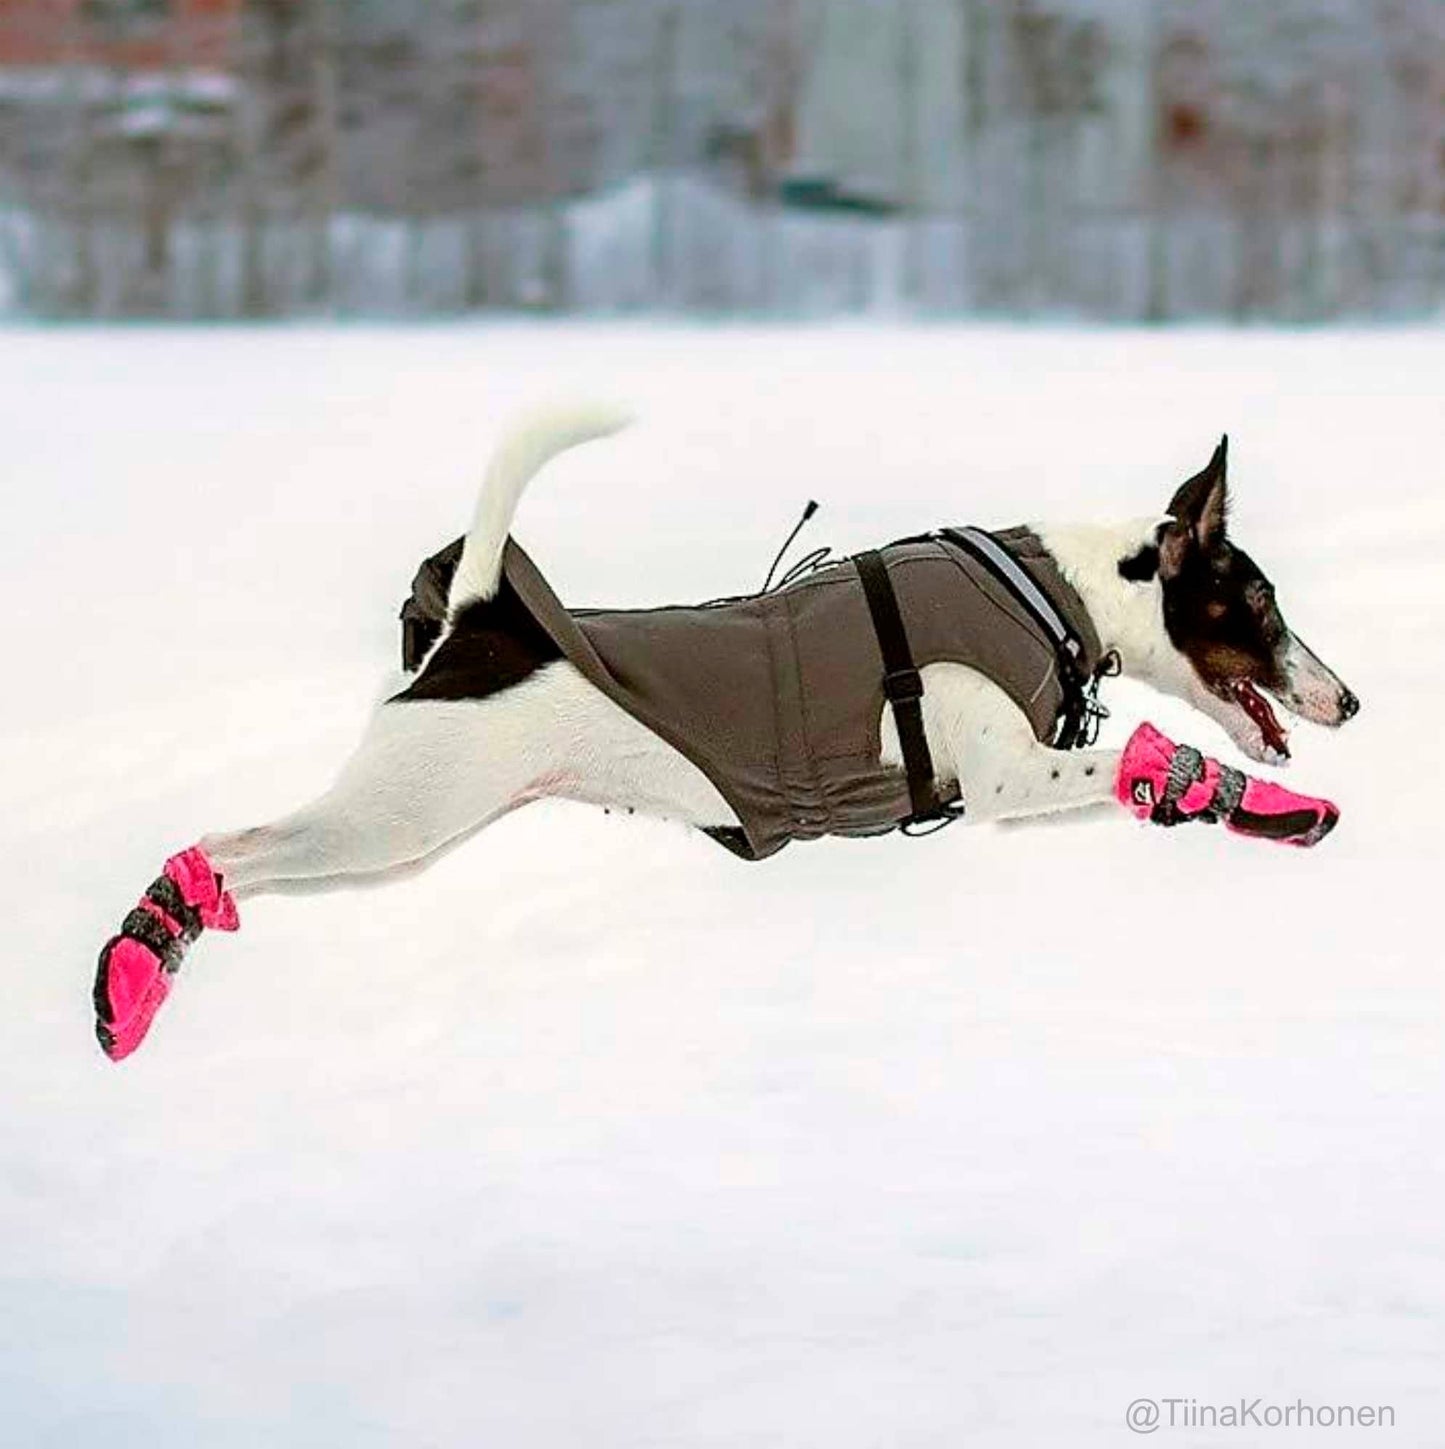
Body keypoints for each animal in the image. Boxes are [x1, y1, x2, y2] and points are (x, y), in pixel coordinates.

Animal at [95, 402, 1356, 1060]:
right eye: (1259, 606)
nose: (1346, 700)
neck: (1055, 589)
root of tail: (481, 617)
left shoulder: (1026, 786)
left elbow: (1146, 780)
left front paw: (1260, 807)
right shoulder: (1002, 778)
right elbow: (1154, 759)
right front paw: (1248, 793)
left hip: (406, 835)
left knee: (247, 871)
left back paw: (148, 962)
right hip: (394, 817)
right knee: (229, 849)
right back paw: (137, 963)